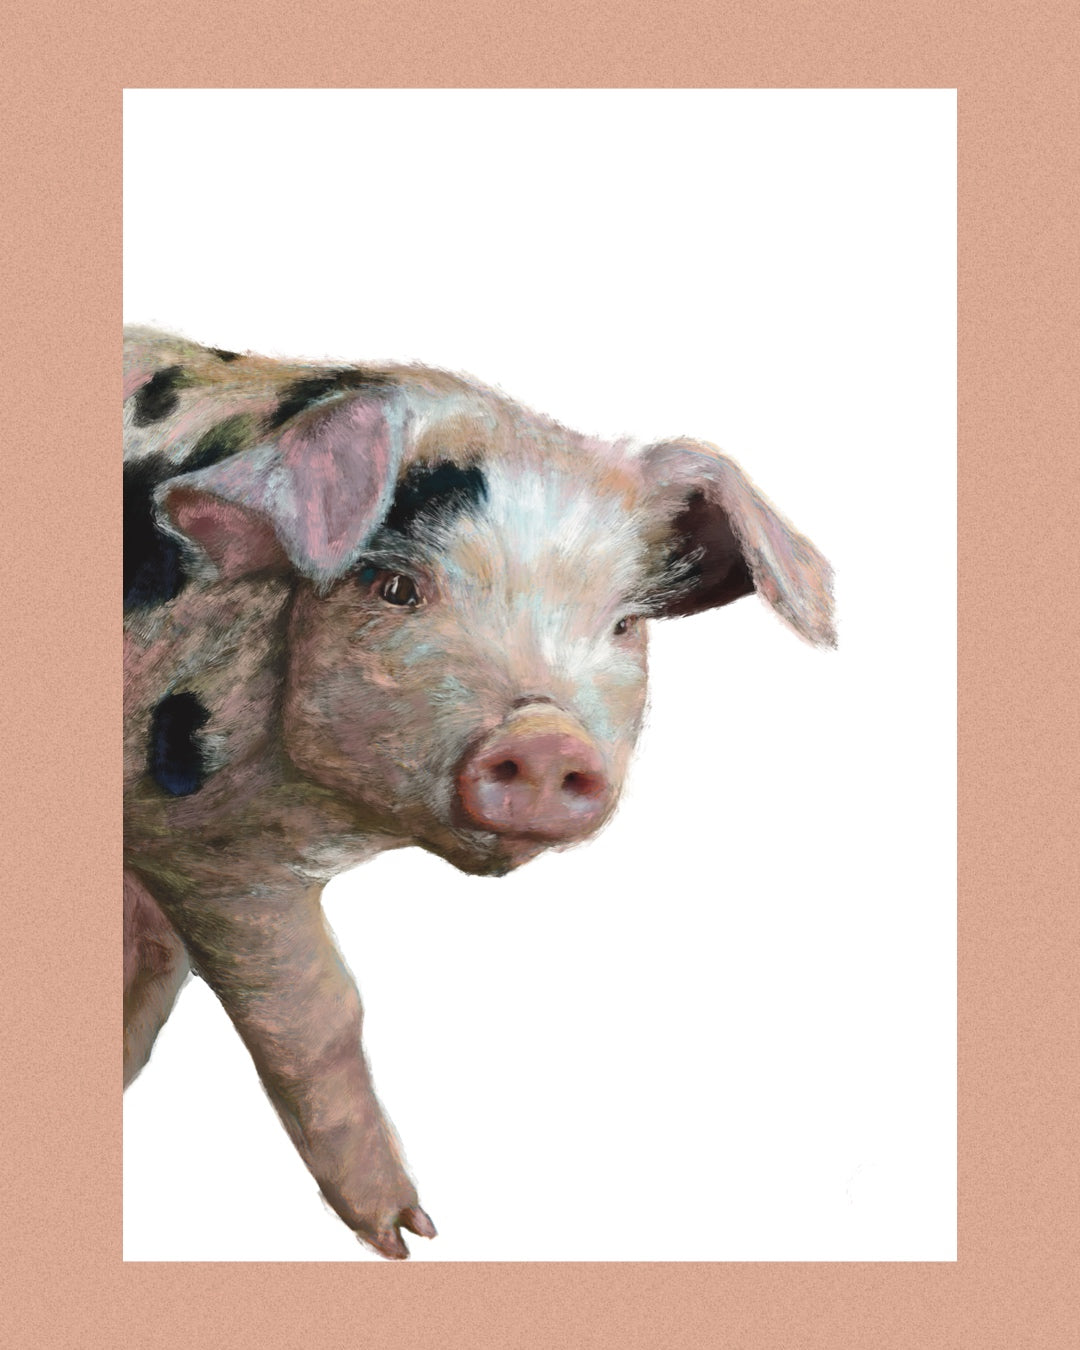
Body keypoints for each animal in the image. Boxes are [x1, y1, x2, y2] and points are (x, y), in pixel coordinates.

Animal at [123, 325, 836, 1259]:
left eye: (624, 624)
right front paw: (408, 1236)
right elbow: (321, 1009)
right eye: (395, 588)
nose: (543, 737)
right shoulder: (210, 853)